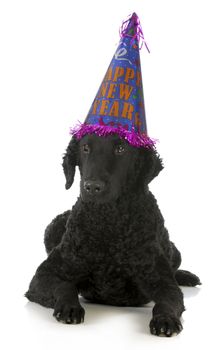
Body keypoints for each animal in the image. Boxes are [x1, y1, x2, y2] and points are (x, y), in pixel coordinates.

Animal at [25, 133, 201, 336]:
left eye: (121, 148)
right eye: (85, 148)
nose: (92, 186)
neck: (108, 223)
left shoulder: (163, 282)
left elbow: (167, 300)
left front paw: (165, 319)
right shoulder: (44, 274)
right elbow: (65, 285)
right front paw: (69, 306)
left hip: (174, 250)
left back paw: (187, 276)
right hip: (53, 227)